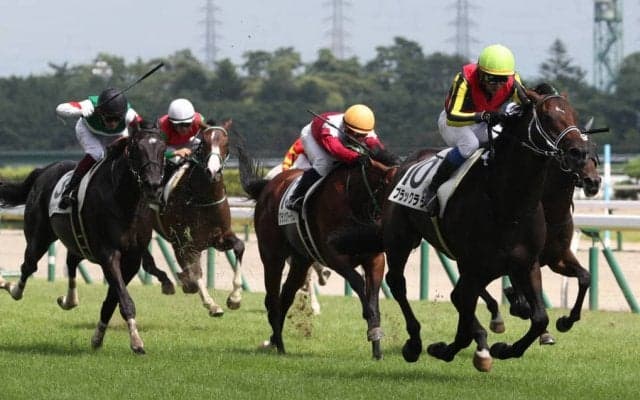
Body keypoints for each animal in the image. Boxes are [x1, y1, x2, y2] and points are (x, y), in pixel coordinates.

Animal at [0, 122, 166, 354]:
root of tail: (44, 170)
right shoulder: (108, 254)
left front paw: (98, 337)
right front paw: (136, 341)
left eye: (163, 148)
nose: (153, 185)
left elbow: (112, 300)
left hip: (78, 241)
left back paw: (69, 300)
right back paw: (11, 287)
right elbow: (124, 299)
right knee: (29, 265)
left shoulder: (132, 260)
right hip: (38, 237)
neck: (125, 202)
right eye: (137, 148)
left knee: (70, 261)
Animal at [237, 141, 398, 360]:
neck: (354, 199)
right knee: (272, 300)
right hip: (272, 256)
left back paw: (277, 342)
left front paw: (376, 346)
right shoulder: (334, 256)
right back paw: (279, 344)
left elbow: (373, 297)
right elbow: (358, 282)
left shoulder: (375, 259)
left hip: (300, 260)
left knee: (286, 296)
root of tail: (268, 186)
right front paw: (369, 319)